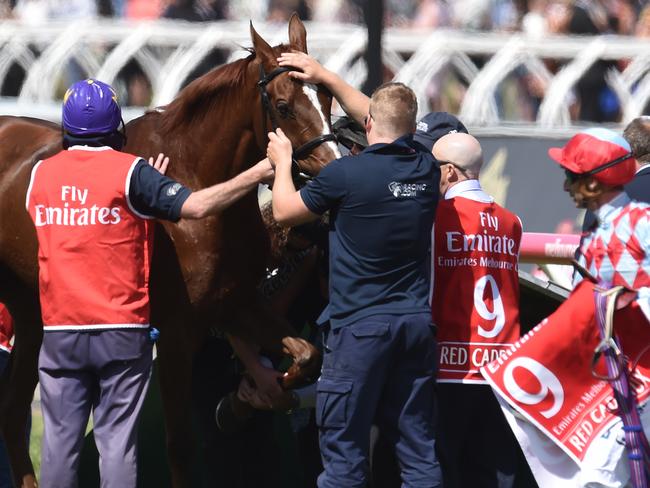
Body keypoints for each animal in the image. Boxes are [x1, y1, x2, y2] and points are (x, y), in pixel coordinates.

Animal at [0, 15, 336, 488]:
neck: (194, 176)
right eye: (284, 105)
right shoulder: (177, 329)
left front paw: (249, 398)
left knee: (13, 416)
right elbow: (179, 442)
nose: (333, 166)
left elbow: (307, 355)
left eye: (326, 95)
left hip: (33, 313)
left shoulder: (232, 303)